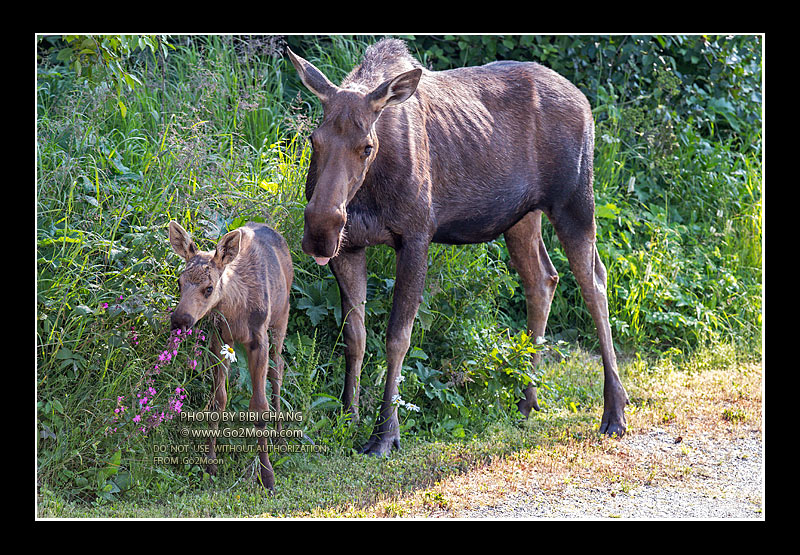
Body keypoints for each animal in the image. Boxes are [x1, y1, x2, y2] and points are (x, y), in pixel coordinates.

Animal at [168, 220, 293, 490]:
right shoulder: (220, 338)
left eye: (209, 288)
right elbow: (218, 401)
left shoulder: (259, 339)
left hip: (281, 319)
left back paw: (280, 437)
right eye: (179, 282)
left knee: (278, 369)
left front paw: (267, 475)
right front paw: (210, 464)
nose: (180, 320)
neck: (235, 310)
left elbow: (260, 406)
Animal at [287, 38, 629, 457]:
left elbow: (397, 338)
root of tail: (584, 101)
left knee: (594, 281)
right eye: (314, 140)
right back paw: (526, 401)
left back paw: (614, 411)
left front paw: (385, 434)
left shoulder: (416, 236)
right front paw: (347, 418)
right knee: (543, 279)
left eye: (366, 146)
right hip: (521, 216)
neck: (369, 191)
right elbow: (354, 336)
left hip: (575, 201)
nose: (321, 230)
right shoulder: (349, 248)